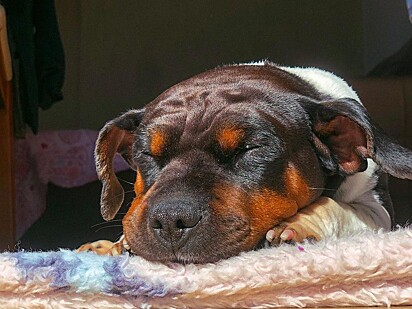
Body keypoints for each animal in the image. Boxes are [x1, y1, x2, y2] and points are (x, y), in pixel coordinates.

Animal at [79, 62, 412, 262]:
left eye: (250, 149)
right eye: (147, 154)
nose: (171, 221)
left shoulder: (378, 212)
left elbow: (340, 208)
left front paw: (298, 224)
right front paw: (114, 244)